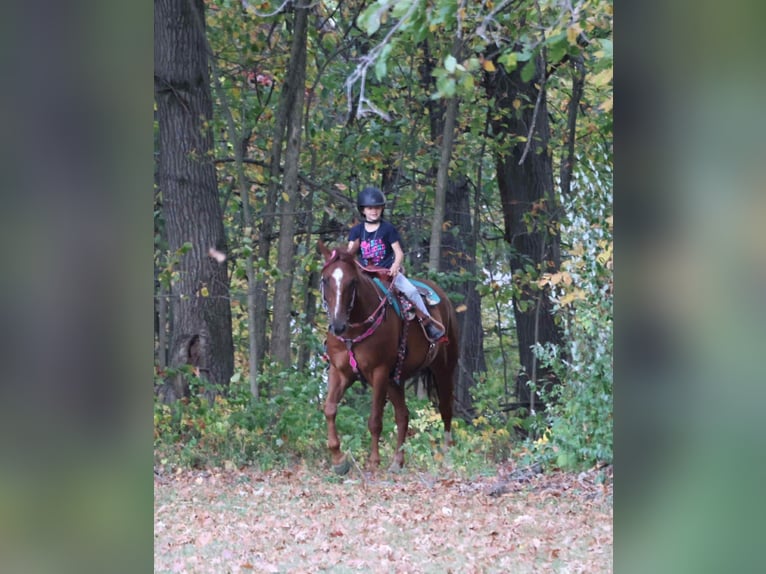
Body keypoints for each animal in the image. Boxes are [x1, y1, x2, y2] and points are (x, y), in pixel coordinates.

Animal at [318, 241, 458, 474]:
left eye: (352, 281)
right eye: (325, 280)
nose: (337, 325)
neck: (354, 329)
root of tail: (444, 298)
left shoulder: (379, 372)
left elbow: (375, 419)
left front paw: (373, 461)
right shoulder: (340, 372)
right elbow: (329, 409)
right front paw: (338, 459)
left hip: (444, 368)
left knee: (446, 409)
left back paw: (447, 456)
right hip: (396, 379)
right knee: (403, 415)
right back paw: (396, 462)